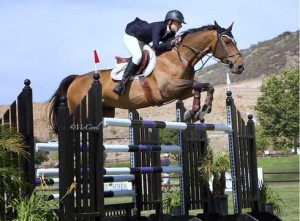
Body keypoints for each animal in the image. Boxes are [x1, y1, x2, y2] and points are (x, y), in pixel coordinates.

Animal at [49, 20, 245, 132]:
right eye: (227, 42)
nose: (240, 66)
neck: (180, 57)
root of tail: (77, 79)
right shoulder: (168, 89)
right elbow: (201, 84)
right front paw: (200, 109)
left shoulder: (181, 90)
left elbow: (204, 86)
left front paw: (195, 112)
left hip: (106, 110)